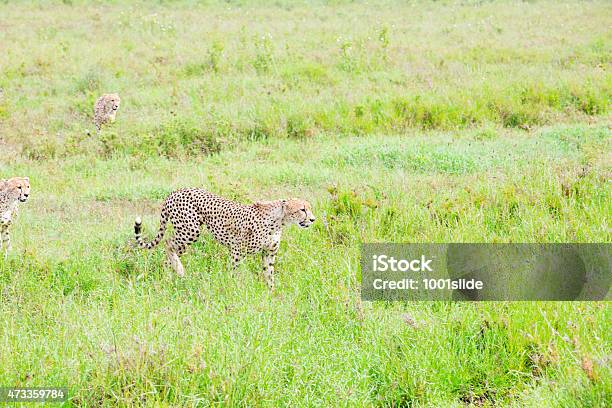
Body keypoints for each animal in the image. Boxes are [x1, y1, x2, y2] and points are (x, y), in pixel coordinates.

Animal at [134, 190, 316, 288]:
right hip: (190, 230)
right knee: (167, 243)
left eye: (309, 208)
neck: (279, 220)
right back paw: (179, 270)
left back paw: (169, 274)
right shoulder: (237, 251)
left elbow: (269, 274)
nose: (313, 219)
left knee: (167, 255)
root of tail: (175, 192)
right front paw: (233, 288)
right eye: (302, 209)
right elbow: (233, 271)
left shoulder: (268, 253)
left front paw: (271, 292)